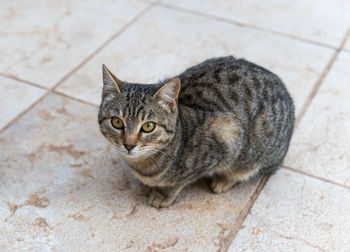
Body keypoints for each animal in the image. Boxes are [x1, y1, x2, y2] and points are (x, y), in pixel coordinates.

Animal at [99, 56, 296, 209]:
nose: (129, 145)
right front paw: (146, 186)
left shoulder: (225, 138)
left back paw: (225, 180)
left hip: (254, 154)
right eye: (117, 122)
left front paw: (163, 194)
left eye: (148, 126)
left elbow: (178, 182)